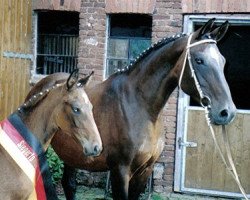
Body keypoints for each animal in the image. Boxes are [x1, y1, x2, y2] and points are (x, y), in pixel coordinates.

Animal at [27, 18, 236, 198]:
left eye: (223, 61)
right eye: (199, 60)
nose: (227, 112)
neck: (140, 106)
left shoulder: (145, 170)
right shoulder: (120, 170)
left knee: (69, 185)